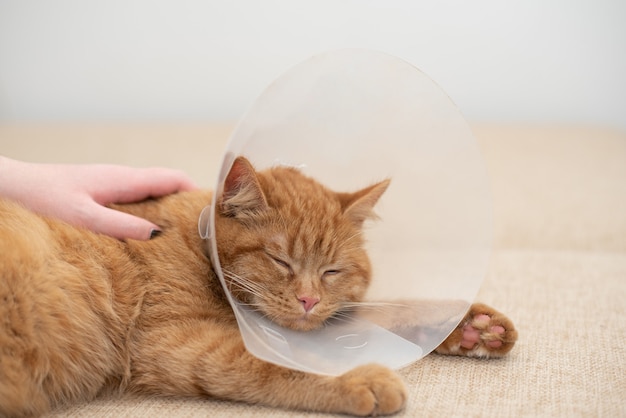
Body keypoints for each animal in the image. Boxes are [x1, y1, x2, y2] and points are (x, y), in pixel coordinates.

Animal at [0, 157, 516, 418]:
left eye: (332, 271)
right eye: (280, 260)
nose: (308, 299)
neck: (194, 242)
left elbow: (381, 310)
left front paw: (471, 326)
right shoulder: (175, 342)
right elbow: (274, 364)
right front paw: (358, 379)